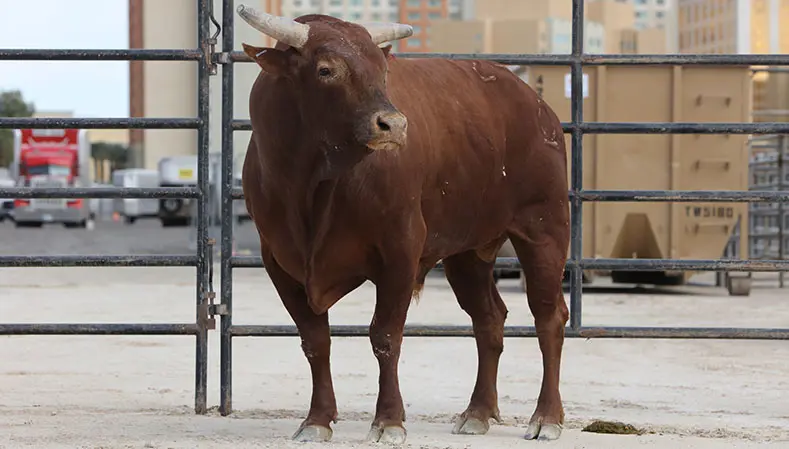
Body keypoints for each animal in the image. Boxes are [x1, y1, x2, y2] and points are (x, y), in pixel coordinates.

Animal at [237, 3, 568, 442]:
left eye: (383, 71)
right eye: (326, 69)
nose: (393, 125)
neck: (311, 185)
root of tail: (534, 102)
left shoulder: (399, 251)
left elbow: (385, 336)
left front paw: (389, 420)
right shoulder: (279, 262)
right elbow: (315, 340)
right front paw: (317, 420)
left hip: (544, 231)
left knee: (549, 319)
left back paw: (546, 418)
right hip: (468, 252)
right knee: (489, 320)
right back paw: (478, 412)